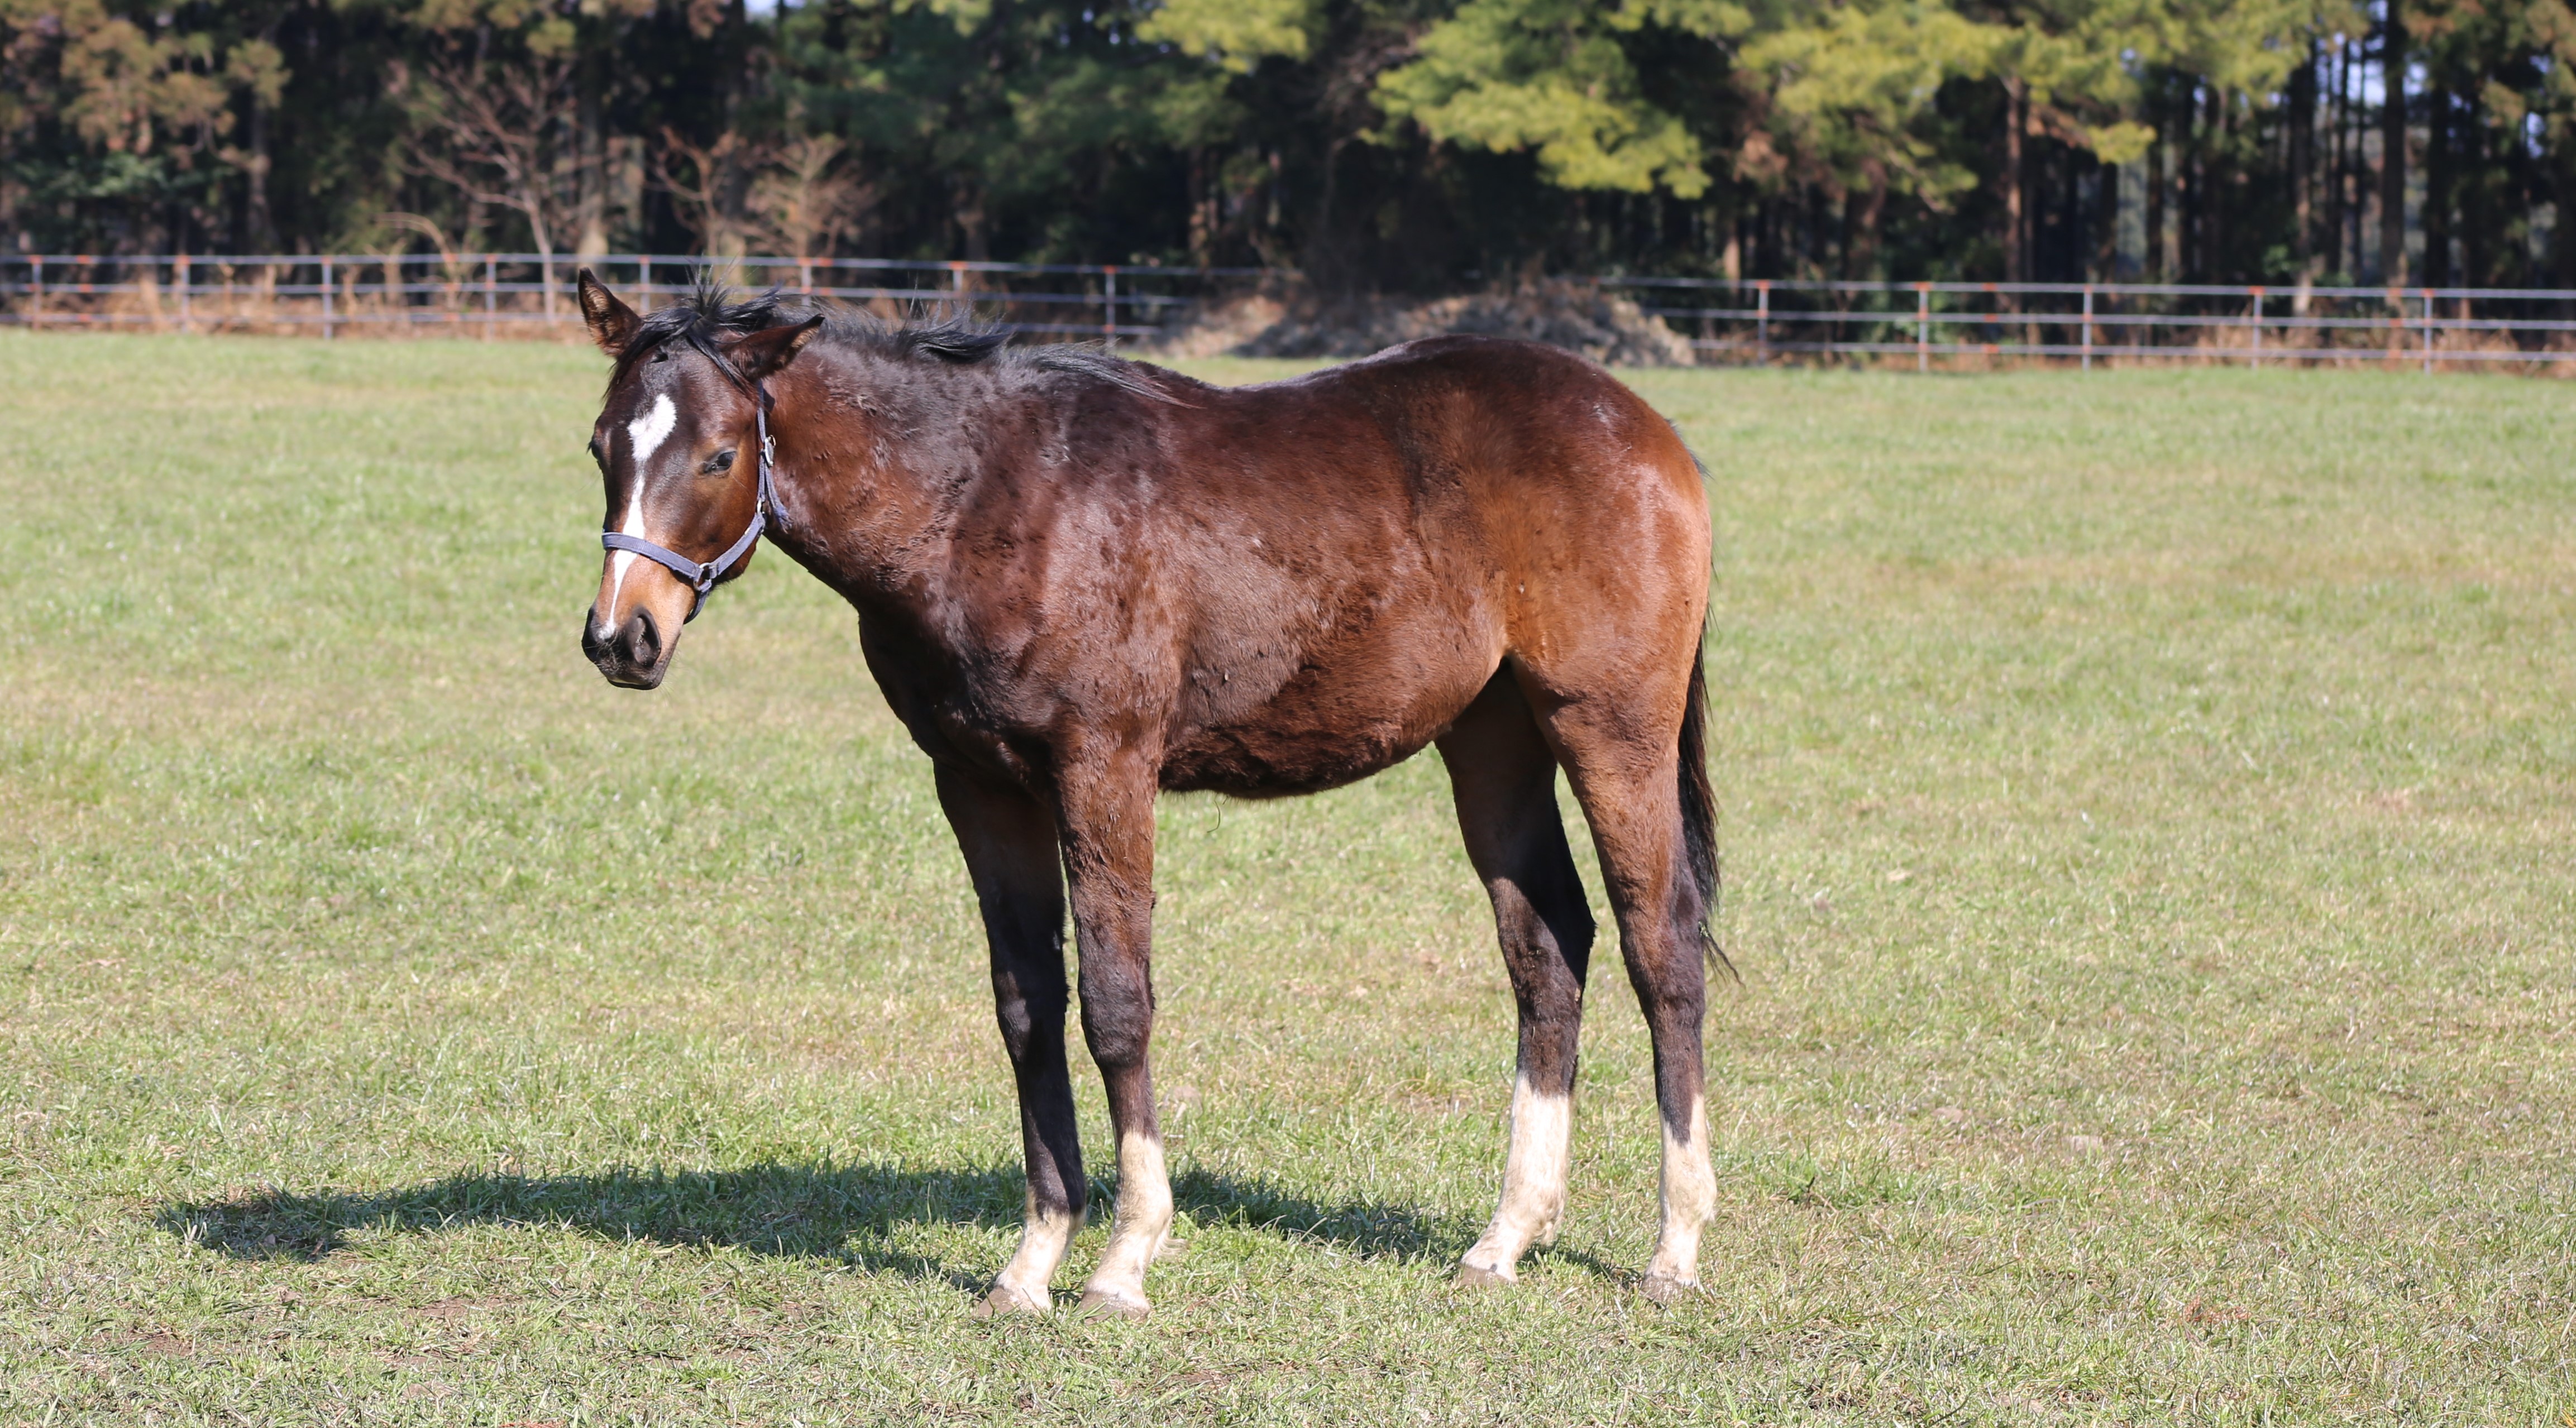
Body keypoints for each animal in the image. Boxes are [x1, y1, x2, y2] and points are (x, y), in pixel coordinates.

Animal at [574, 271, 1720, 1317]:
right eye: (601, 448)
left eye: (720, 455)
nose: (622, 638)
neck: (985, 499)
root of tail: (1644, 426)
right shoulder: (978, 783)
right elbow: (1027, 1008)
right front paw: (1033, 1260)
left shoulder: (1104, 768)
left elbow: (1116, 1004)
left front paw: (1126, 1257)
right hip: (1492, 742)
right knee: (1547, 949)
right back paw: (1505, 1237)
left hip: (1608, 728)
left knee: (1659, 945)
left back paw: (1674, 1248)